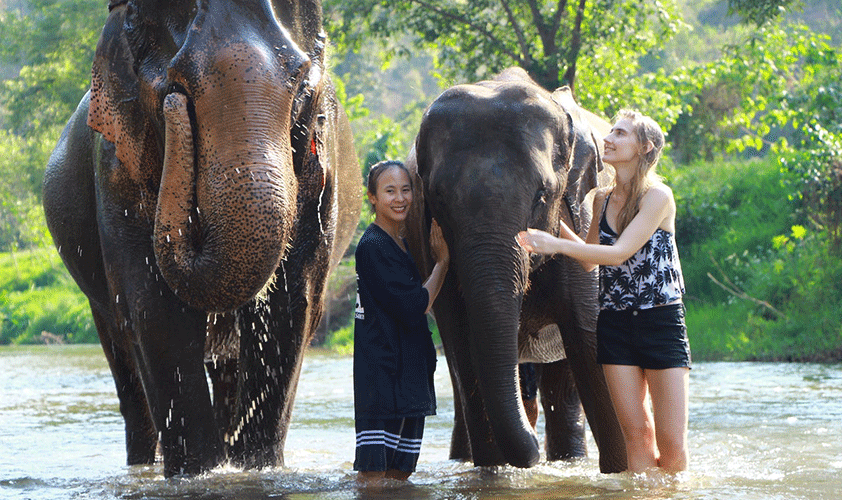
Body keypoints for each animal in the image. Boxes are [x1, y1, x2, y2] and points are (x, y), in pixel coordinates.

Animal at [42, 0, 360, 476]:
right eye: (174, 89)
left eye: (304, 88)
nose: (176, 108)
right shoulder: (115, 168)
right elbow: (155, 310)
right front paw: (199, 472)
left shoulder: (321, 176)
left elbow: (291, 305)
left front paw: (256, 470)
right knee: (122, 358)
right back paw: (145, 465)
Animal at [404, 67, 628, 472]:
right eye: (438, 197)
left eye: (543, 194)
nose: (532, 453)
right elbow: (463, 346)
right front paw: (493, 473)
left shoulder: (583, 219)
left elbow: (589, 341)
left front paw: (625, 472)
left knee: (563, 383)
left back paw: (567, 461)